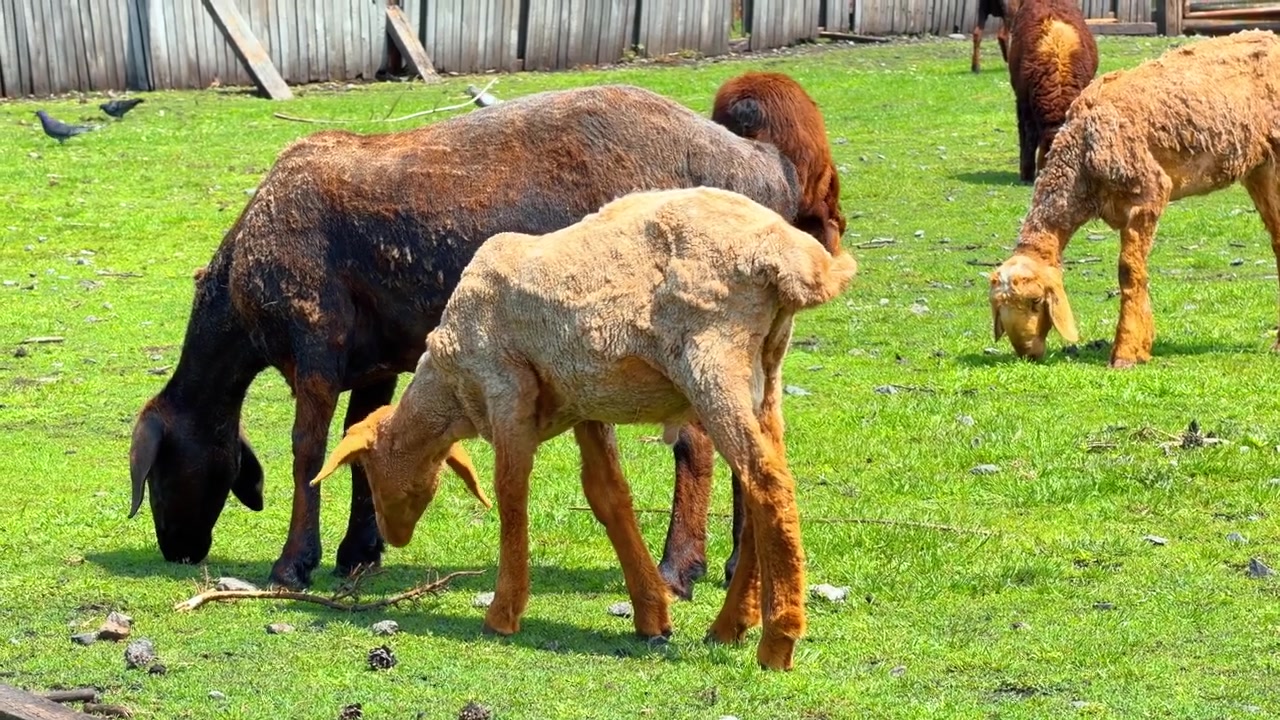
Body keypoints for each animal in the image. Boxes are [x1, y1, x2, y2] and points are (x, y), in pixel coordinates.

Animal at [127, 80, 840, 593]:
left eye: (157, 471)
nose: (177, 552)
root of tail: (764, 166)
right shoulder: (373, 362)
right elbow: (361, 439)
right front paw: (359, 554)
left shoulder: (315, 345)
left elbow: (309, 451)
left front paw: (293, 564)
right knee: (749, 436)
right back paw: (738, 570)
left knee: (696, 445)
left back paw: (677, 569)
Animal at [311, 186, 859, 671]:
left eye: (368, 473)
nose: (394, 537)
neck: (452, 387)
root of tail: (791, 257)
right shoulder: (583, 402)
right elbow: (607, 495)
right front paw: (651, 616)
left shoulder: (506, 387)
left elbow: (511, 493)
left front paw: (504, 613)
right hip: (765, 370)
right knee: (760, 481)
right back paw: (730, 626)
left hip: (712, 360)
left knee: (767, 482)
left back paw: (777, 641)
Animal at [988, 30, 1280, 367]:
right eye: (999, 306)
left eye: (1037, 301)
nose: (1027, 353)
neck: (1081, 156)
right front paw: (1142, 346)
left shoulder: (1149, 192)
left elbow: (1129, 271)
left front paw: (1125, 353)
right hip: (1260, 168)